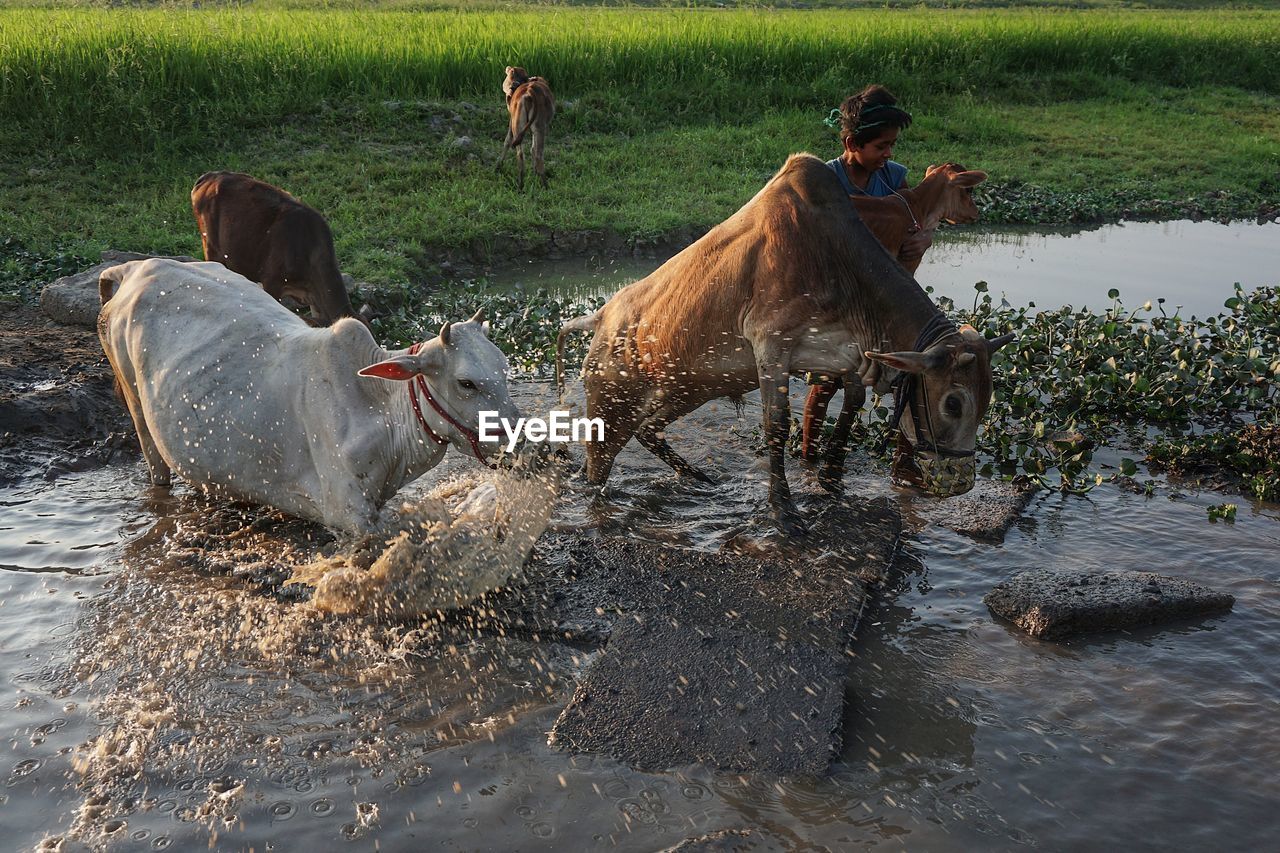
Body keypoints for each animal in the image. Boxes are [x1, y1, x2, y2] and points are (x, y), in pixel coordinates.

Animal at [98, 257, 519, 532]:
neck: (379, 406)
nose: (523, 444)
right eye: (467, 383)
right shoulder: (349, 515)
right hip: (137, 408)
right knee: (156, 468)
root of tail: (132, 269)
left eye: (504, 368)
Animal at [555, 149, 1013, 527]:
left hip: (688, 387)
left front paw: (832, 479)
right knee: (597, 467)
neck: (839, 265)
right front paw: (784, 511)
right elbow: (776, 426)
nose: (962, 483)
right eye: (953, 403)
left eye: (987, 399)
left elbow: (851, 404)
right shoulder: (771, 347)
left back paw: (699, 478)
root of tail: (601, 317)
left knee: (649, 431)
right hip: (613, 406)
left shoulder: (848, 356)